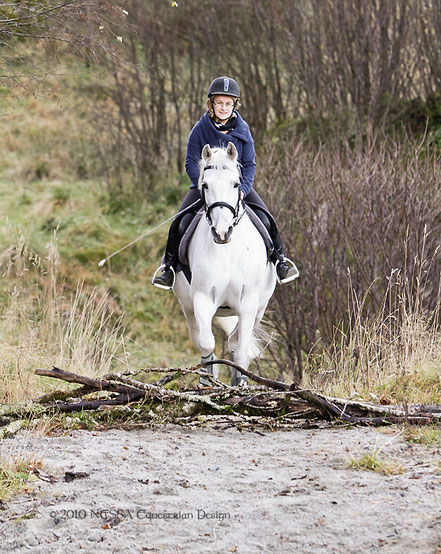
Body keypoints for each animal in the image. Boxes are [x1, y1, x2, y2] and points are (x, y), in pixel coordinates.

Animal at [174, 142, 276, 384]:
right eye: (205, 185)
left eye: (236, 184)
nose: (222, 232)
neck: (227, 250)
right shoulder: (201, 300)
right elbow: (206, 344)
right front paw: (207, 380)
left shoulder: (249, 304)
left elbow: (240, 351)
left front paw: (241, 383)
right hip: (187, 307)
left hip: (259, 308)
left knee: (234, 341)